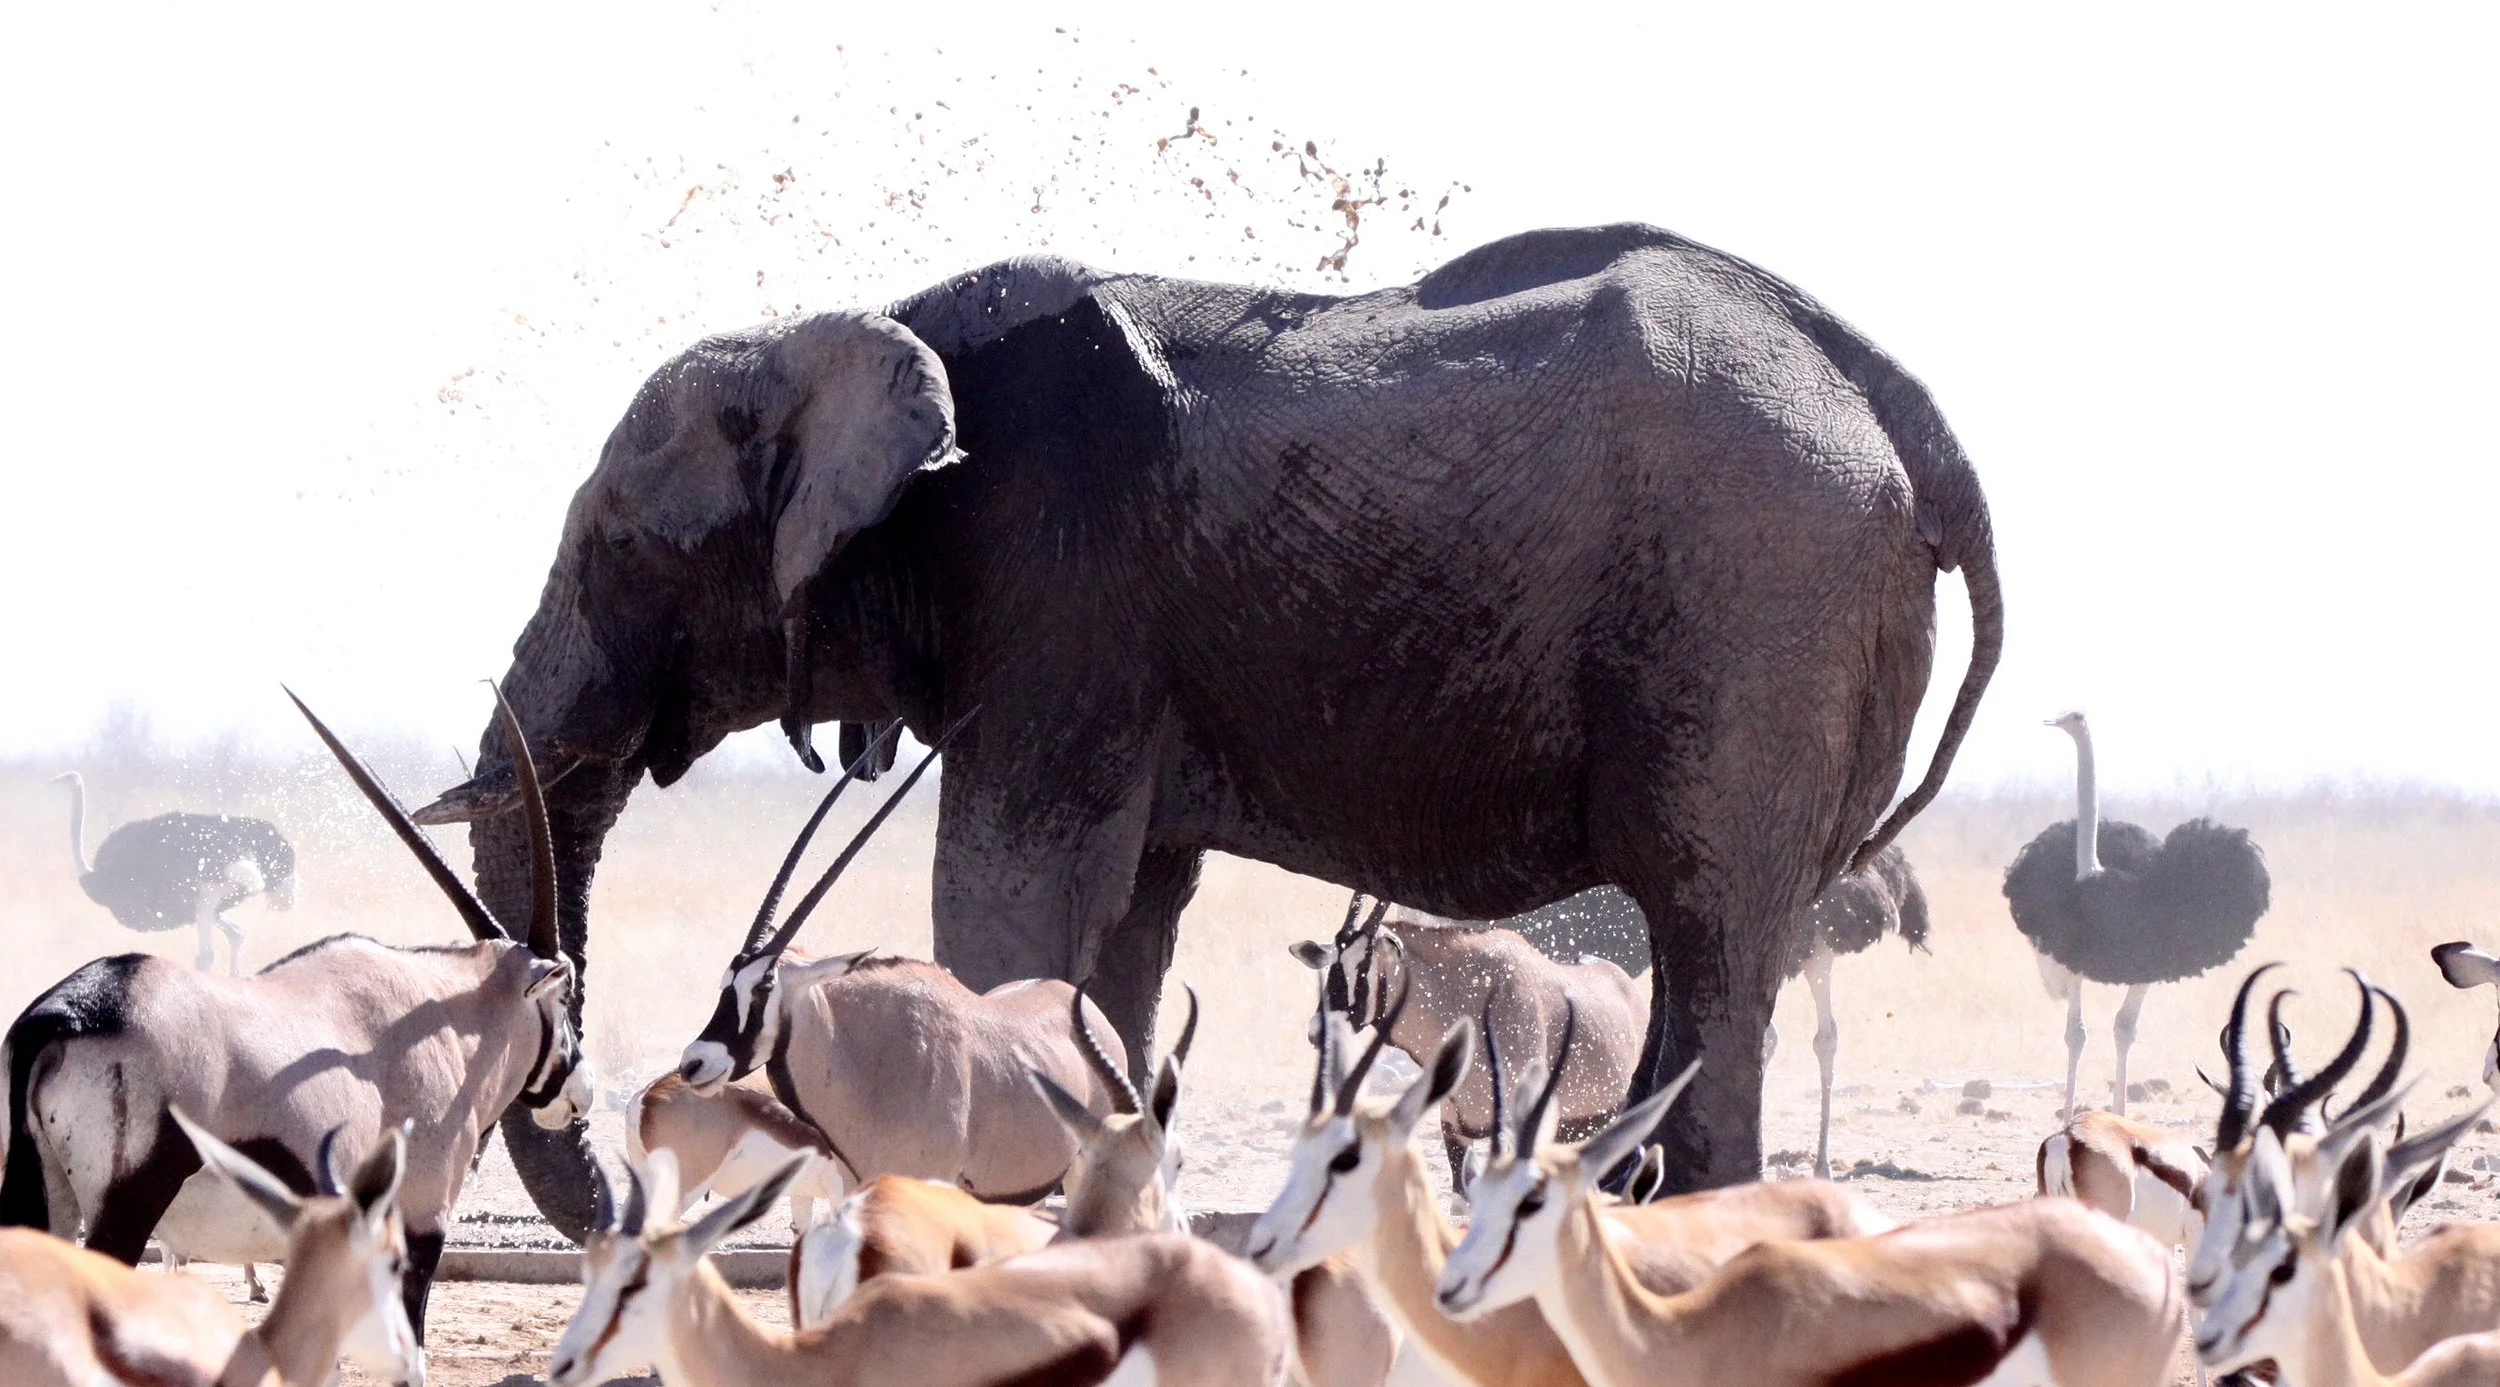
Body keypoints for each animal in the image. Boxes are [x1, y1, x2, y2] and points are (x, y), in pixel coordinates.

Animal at [414, 222, 2002, 1236]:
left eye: (623, 550)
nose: (614, 1188)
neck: (856, 333)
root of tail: (1913, 423)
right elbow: (1124, 922)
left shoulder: (1060, 590)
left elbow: (1010, 889)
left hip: (1759, 607)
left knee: (1713, 931)